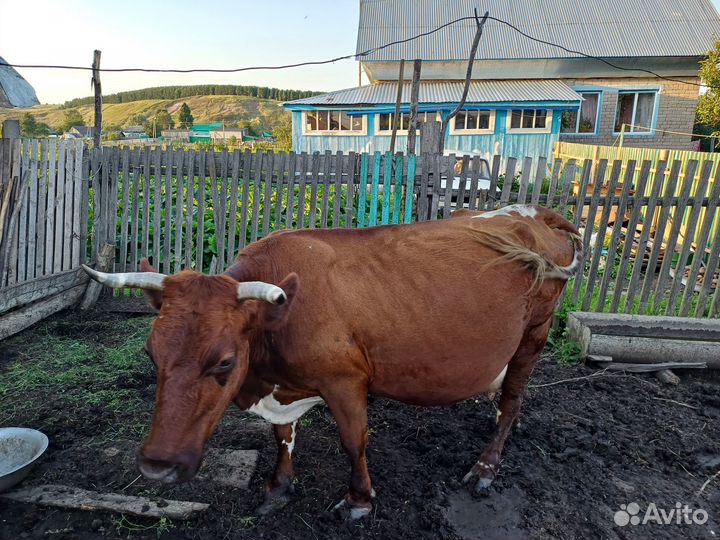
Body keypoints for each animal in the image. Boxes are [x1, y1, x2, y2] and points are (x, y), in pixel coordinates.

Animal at [82, 203, 582, 519]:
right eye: (151, 353)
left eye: (224, 362)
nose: (156, 466)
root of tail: (536, 213)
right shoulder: (283, 389)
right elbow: (282, 437)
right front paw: (278, 488)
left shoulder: (346, 381)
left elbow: (353, 441)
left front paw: (359, 500)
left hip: (533, 336)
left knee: (513, 398)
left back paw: (486, 466)